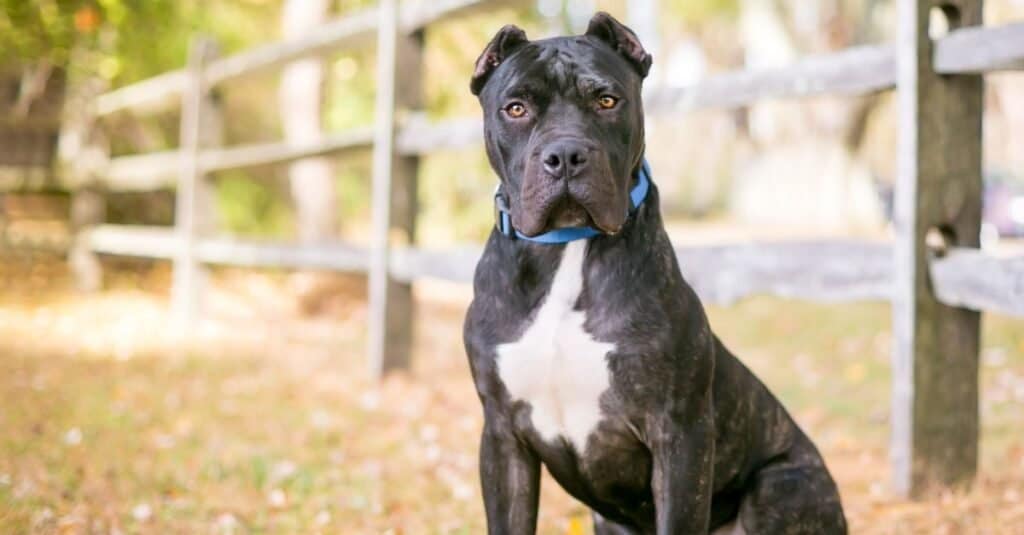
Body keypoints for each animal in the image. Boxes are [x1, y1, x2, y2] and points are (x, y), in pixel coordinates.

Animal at [464, 12, 847, 532]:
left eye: (607, 100)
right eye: (516, 108)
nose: (565, 155)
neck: (567, 250)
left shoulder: (680, 435)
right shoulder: (504, 441)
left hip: (782, 487)